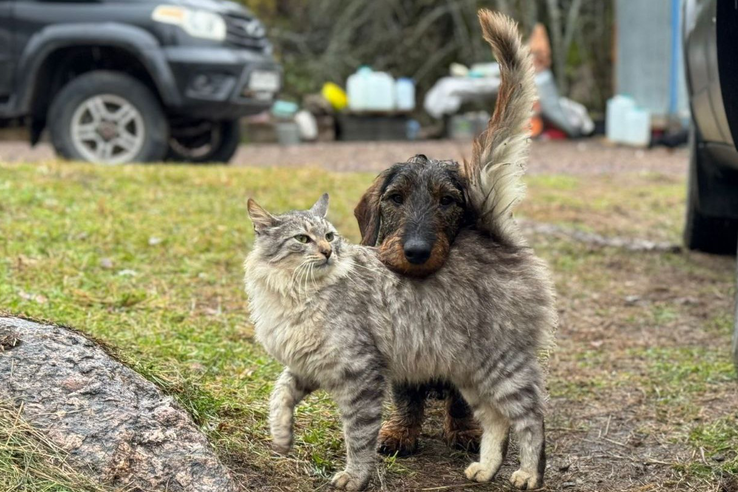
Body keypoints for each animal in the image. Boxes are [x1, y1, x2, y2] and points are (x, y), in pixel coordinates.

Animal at [244, 192, 556, 488]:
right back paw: (486, 470)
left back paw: (529, 475)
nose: (328, 251)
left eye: (329, 236)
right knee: (497, 421)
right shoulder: (308, 365)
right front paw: (281, 437)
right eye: (302, 239)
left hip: (501, 368)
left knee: (531, 420)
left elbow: (358, 436)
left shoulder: (360, 371)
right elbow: (279, 395)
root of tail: (503, 247)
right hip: (471, 376)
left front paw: (356, 478)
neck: (298, 292)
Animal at [352, 9, 536, 456]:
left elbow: (460, 400)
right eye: (395, 198)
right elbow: (406, 396)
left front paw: (465, 431)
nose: (416, 251)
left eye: (448, 201)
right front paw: (400, 431)